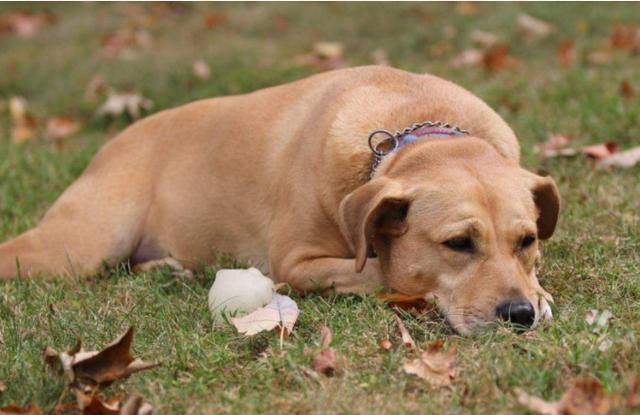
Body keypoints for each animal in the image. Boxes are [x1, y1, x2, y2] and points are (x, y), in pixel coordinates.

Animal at [0, 66, 556, 336]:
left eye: (527, 240)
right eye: (458, 243)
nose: (518, 315)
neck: (412, 131)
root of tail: (113, 139)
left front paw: (540, 293)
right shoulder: (296, 262)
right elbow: (381, 271)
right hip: (78, 245)